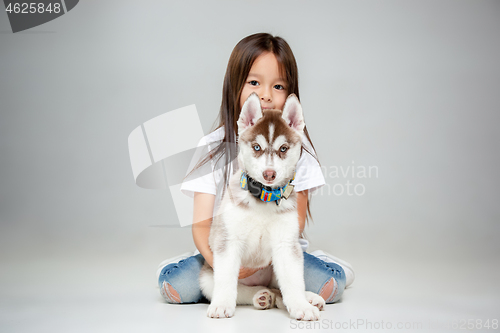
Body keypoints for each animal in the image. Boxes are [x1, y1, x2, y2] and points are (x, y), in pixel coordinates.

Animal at [199, 91, 324, 320]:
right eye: (257, 147)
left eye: (283, 148)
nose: (269, 174)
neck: (263, 198)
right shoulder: (228, 242)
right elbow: (227, 279)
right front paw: (221, 304)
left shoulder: (286, 245)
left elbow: (293, 281)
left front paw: (301, 306)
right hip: (206, 277)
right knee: (242, 290)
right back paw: (260, 296)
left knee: (281, 289)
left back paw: (308, 298)